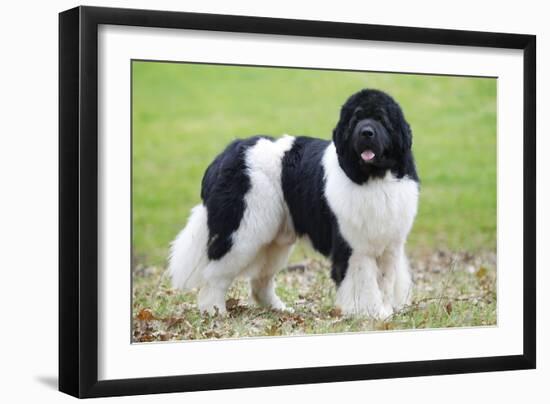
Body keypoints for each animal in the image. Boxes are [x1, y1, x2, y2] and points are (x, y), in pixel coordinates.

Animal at [167, 88, 418, 318]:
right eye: (356, 120)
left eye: (382, 120)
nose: (366, 132)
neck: (374, 178)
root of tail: (226, 154)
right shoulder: (354, 246)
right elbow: (364, 281)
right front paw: (369, 313)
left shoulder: (389, 245)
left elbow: (384, 281)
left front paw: (385, 311)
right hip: (242, 232)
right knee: (215, 274)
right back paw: (215, 310)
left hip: (273, 240)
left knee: (261, 281)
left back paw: (278, 309)